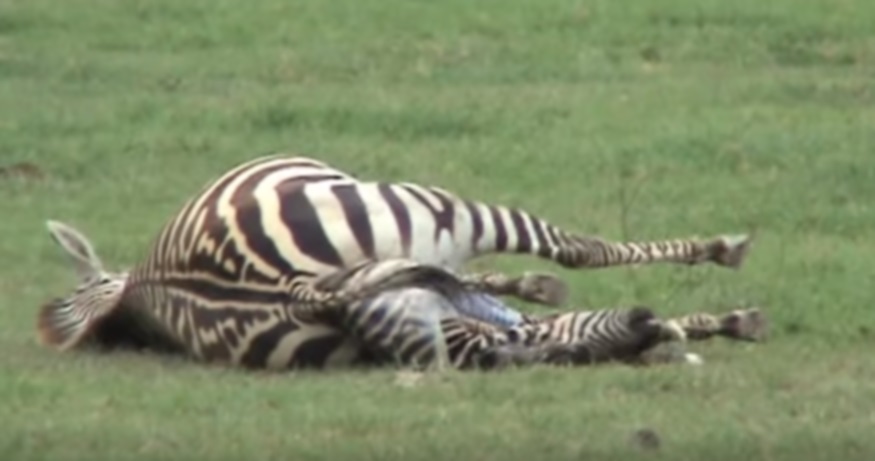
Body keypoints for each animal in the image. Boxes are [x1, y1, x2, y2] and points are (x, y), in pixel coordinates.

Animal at [37, 154, 756, 370]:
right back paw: (718, 261)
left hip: (417, 319)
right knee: (574, 254)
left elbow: (507, 293)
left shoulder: (440, 292)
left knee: (537, 341)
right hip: (439, 207)